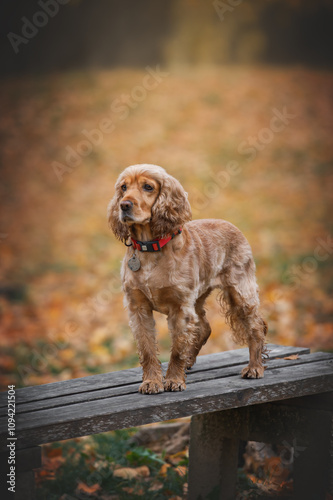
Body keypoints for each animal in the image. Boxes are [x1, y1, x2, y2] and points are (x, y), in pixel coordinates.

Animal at [107, 164, 266, 394]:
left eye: (148, 187)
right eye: (123, 187)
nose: (124, 205)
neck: (150, 248)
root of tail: (232, 225)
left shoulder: (180, 307)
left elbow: (177, 349)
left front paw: (174, 379)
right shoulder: (138, 308)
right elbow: (147, 350)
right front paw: (152, 381)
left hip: (241, 293)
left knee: (256, 328)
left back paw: (255, 367)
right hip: (198, 298)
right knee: (204, 326)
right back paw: (190, 361)